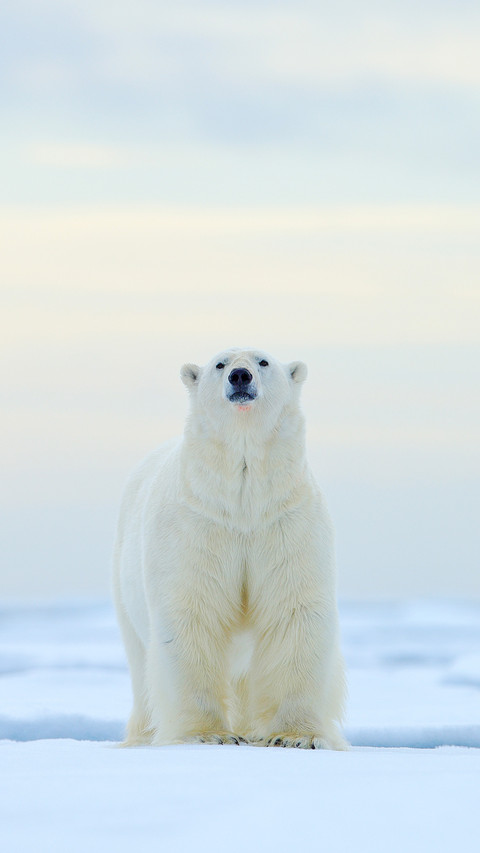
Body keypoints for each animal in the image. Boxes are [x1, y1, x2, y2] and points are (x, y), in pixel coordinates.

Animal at [113, 347, 348, 749]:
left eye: (263, 361)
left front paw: (295, 736)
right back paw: (142, 736)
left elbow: (293, 610)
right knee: (140, 662)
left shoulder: (284, 521)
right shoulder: (198, 523)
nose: (240, 376)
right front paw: (209, 735)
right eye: (220, 364)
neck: (243, 501)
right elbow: (192, 612)